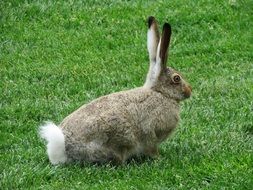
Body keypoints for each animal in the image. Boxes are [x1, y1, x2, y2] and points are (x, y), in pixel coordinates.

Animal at [39, 16, 192, 165]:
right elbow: (152, 147)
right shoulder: (151, 133)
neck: (160, 93)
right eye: (176, 78)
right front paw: (159, 158)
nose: (189, 91)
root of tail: (62, 146)